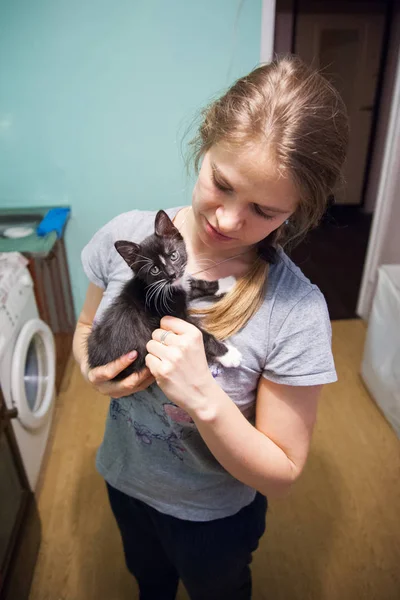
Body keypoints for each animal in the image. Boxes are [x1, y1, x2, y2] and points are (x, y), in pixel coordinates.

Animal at [87, 210, 241, 380]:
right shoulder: (170, 313)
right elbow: (201, 334)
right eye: (154, 269)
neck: (163, 287)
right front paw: (228, 354)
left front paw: (225, 283)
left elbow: (195, 286)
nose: (172, 274)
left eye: (173, 255)